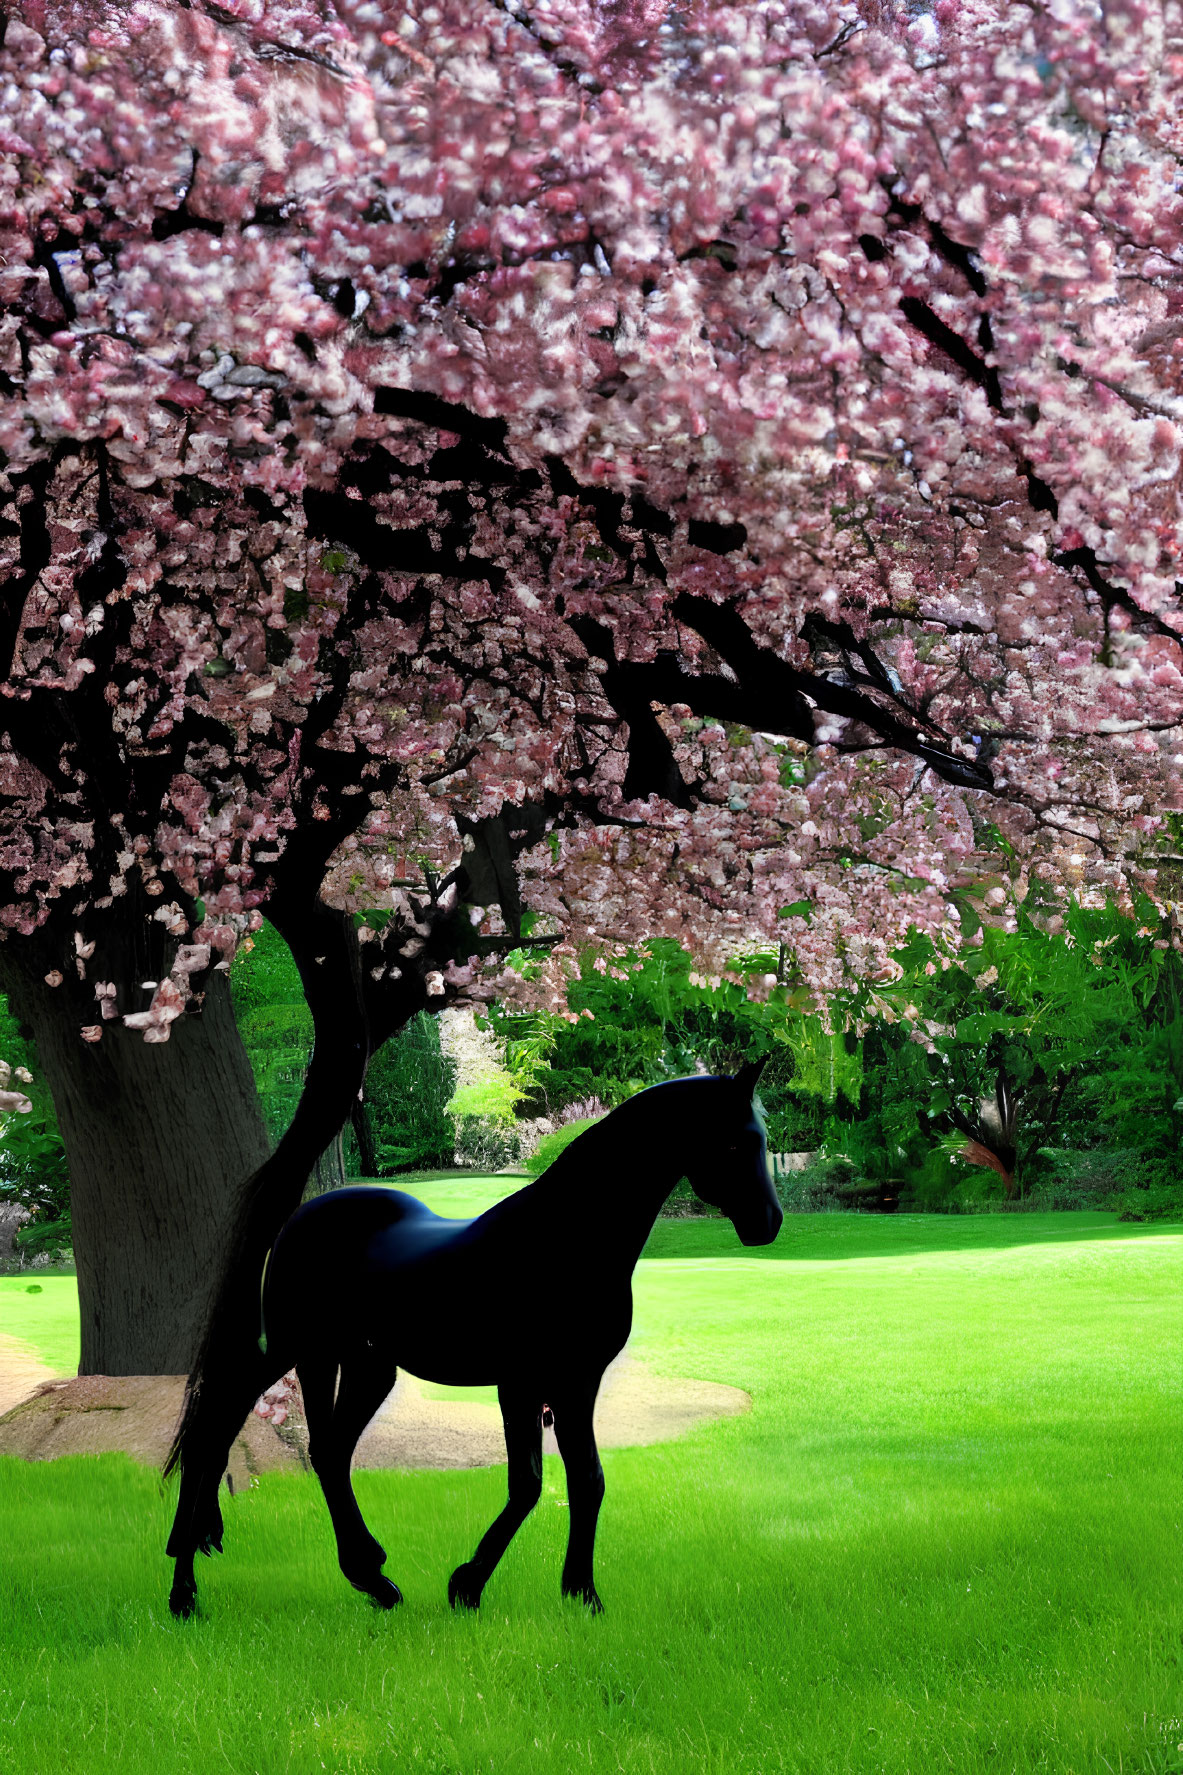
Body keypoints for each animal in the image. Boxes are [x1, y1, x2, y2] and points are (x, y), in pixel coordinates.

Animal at [163, 1057, 774, 1618]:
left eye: (762, 1140)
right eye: (735, 1143)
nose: (768, 1223)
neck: (565, 1240)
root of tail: (303, 1216)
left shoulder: (578, 1384)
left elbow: (588, 1481)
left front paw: (582, 1595)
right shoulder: (521, 1385)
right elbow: (528, 1484)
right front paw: (468, 1584)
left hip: (364, 1367)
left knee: (329, 1453)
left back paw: (371, 1578)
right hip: (297, 1350)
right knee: (216, 1430)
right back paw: (184, 1592)